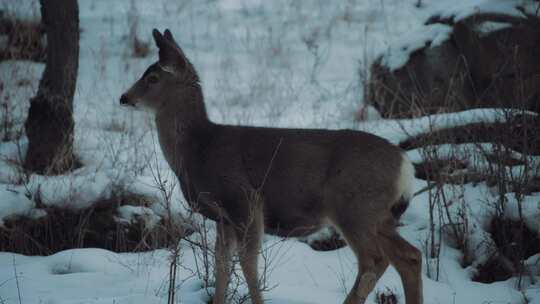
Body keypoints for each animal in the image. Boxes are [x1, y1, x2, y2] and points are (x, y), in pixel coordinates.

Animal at [120, 29, 424, 304]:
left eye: (153, 77)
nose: (124, 97)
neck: (199, 149)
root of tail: (405, 165)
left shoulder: (245, 200)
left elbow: (248, 264)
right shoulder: (223, 218)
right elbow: (221, 265)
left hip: (354, 208)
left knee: (374, 262)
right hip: (380, 216)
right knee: (409, 256)